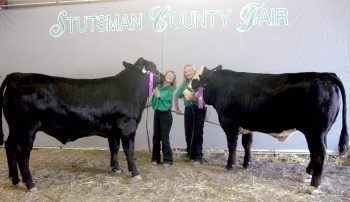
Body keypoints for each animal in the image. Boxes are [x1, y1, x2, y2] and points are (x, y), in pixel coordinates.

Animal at [0, 57, 164, 193]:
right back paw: (31, 185)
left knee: (9, 146)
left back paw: (15, 180)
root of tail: (18, 75)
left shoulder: (113, 131)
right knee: (22, 153)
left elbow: (114, 148)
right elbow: (129, 151)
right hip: (27, 128)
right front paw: (135, 173)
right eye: (154, 67)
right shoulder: (128, 127)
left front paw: (115, 168)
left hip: (14, 127)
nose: (163, 77)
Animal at [185, 65, 348, 193]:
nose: (185, 92)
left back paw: (313, 186)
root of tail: (324, 74)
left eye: (196, 80)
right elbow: (247, 144)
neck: (221, 86)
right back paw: (305, 176)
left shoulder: (229, 124)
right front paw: (247, 164)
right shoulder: (247, 125)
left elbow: (232, 146)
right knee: (319, 152)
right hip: (322, 131)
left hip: (315, 131)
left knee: (319, 153)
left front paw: (230, 165)